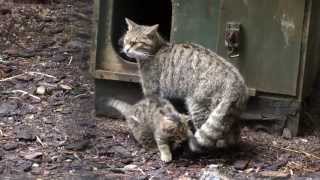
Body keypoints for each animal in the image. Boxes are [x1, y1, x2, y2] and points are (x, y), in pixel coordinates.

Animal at [121, 18, 249, 152]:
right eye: (126, 40)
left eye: (135, 43)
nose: (126, 50)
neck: (156, 50)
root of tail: (237, 81)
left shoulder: (151, 91)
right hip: (228, 114)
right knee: (232, 134)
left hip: (199, 106)